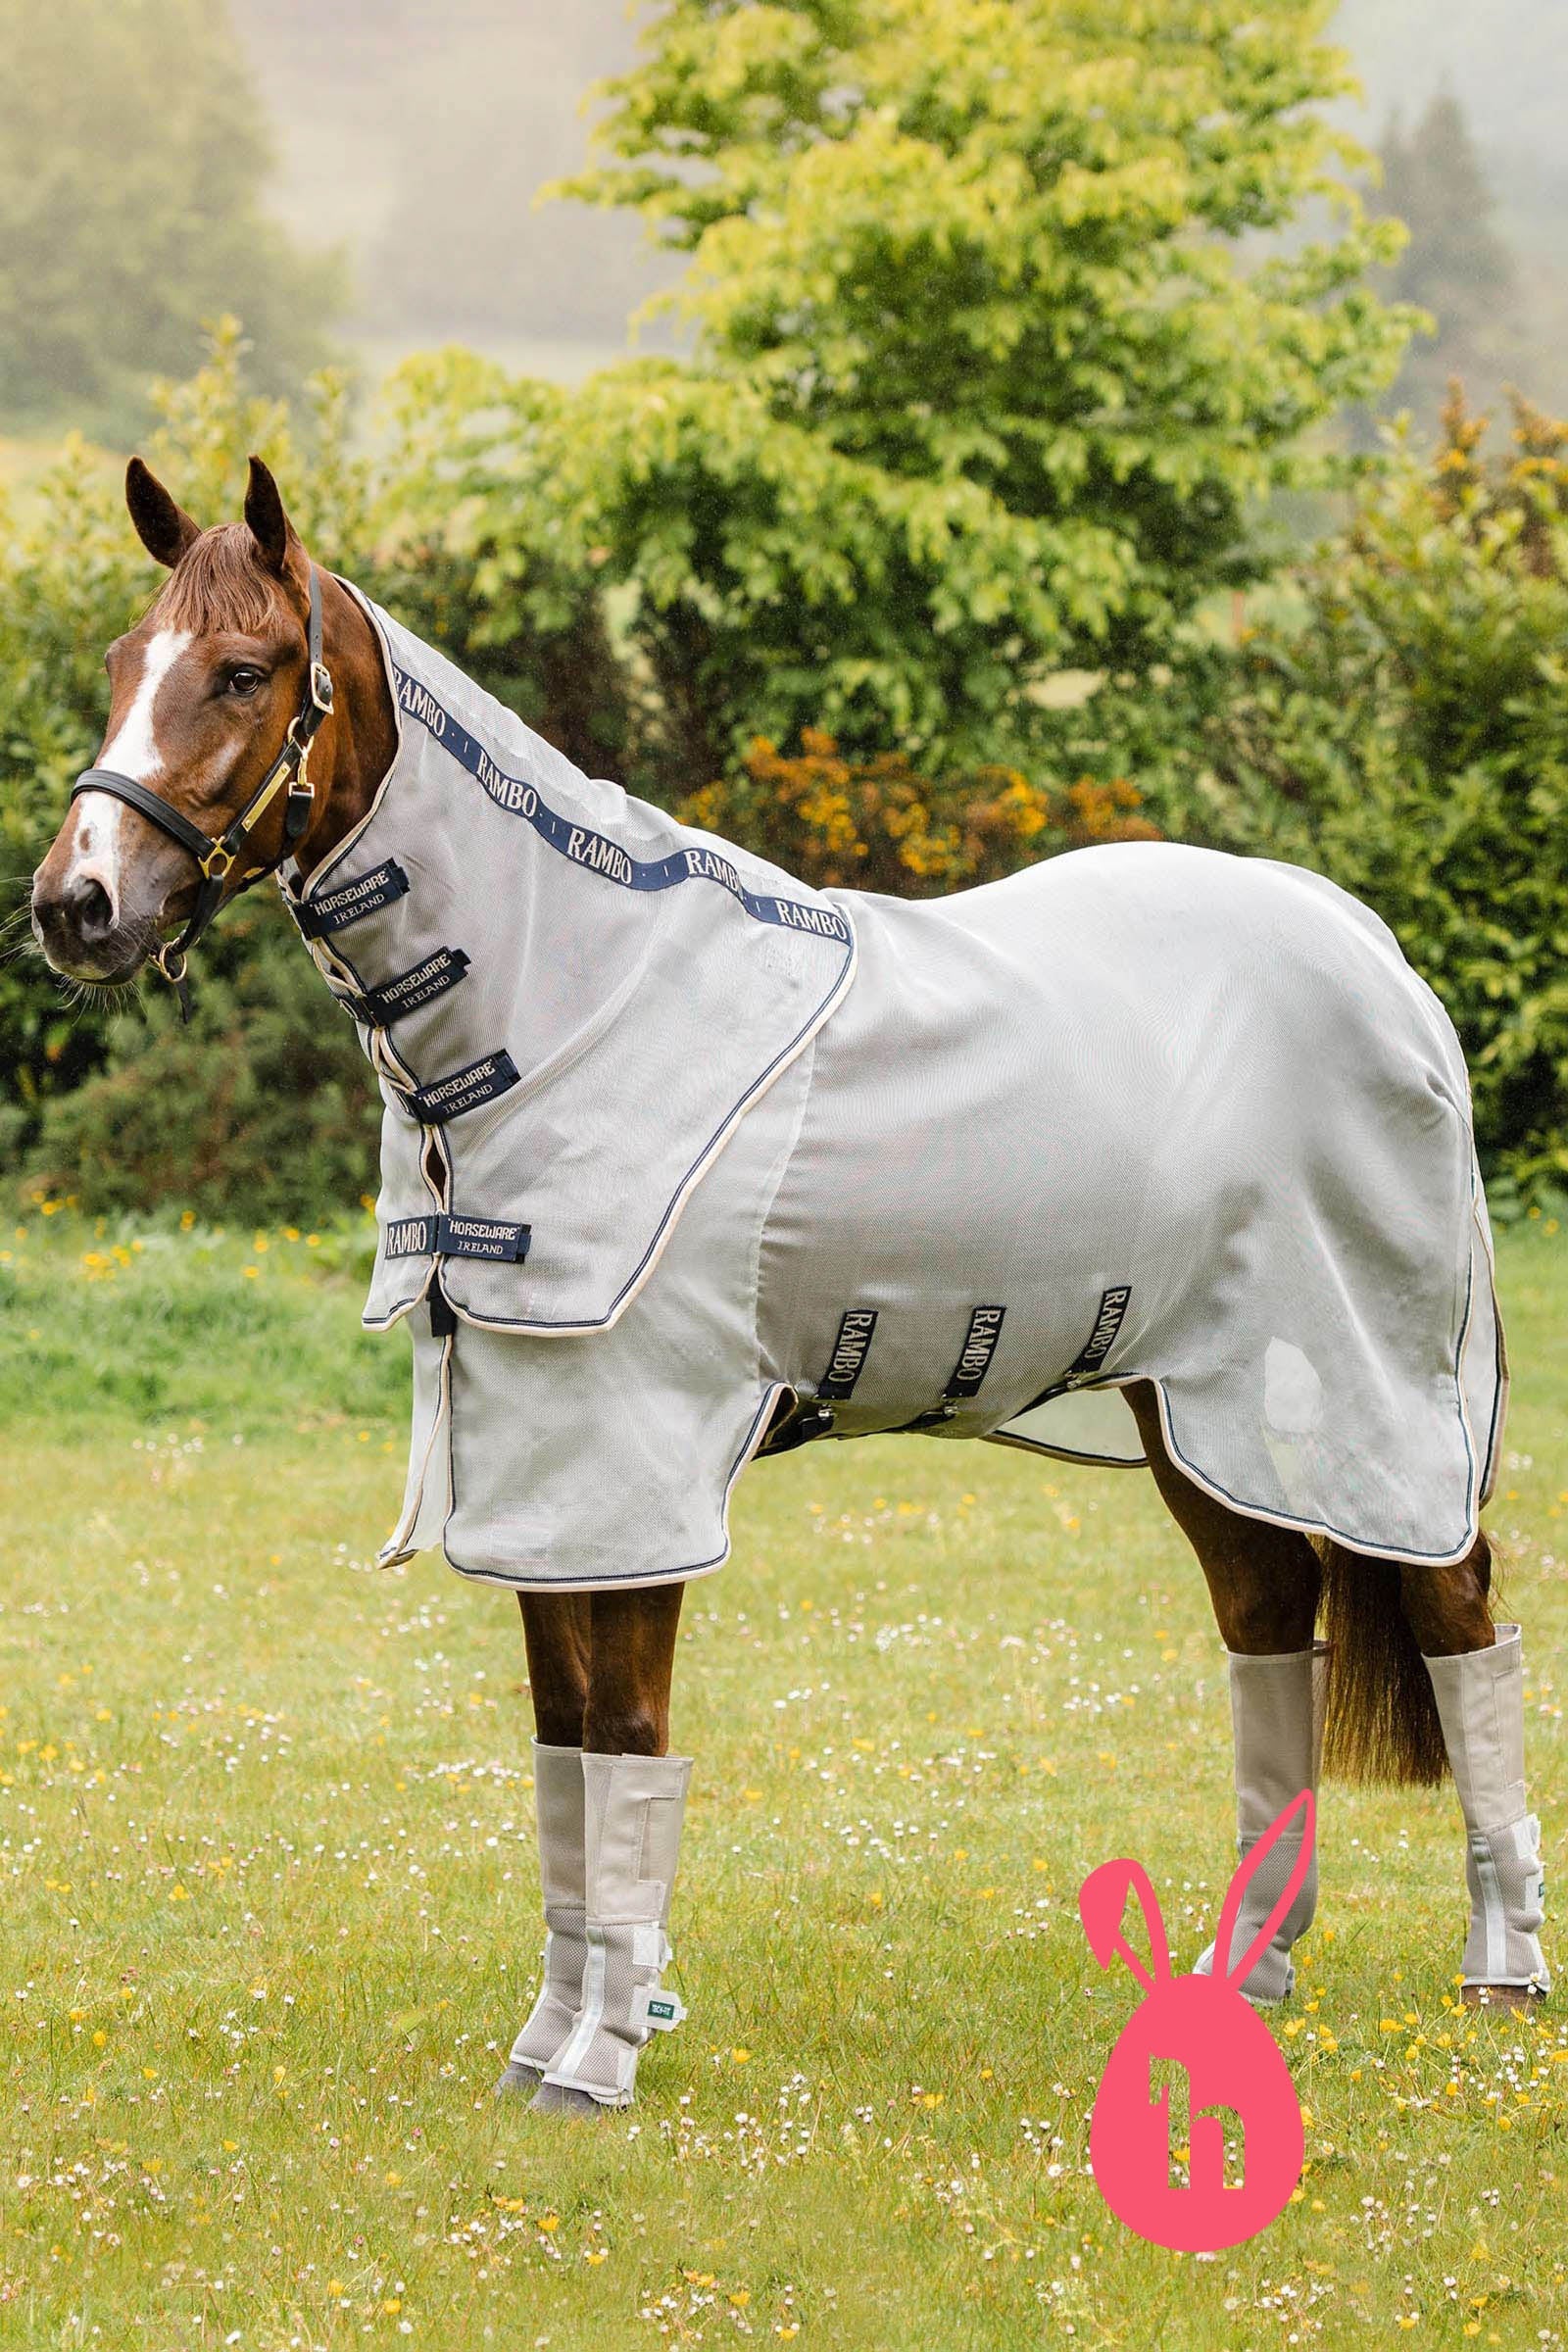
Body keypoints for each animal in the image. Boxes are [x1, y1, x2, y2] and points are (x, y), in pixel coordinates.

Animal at [30, 458, 1549, 2119]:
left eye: (242, 672)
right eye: (120, 662)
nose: (76, 905)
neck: (575, 1006)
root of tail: (1372, 952)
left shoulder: (631, 1464)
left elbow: (627, 1740)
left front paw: (601, 2065)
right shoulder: (544, 1472)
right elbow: (564, 1758)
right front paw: (545, 2046)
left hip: (1368, 1390)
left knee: (1462, 1620)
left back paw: (1499, 1976)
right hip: (1193, 1404)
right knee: (1272, 1620)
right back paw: (1247, 1979)